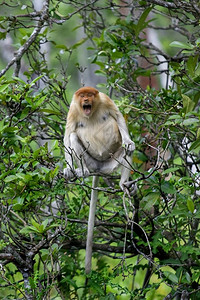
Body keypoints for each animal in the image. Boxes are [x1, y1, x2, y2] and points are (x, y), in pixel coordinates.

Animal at [63, 86, 134, 274]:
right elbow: (68, 135)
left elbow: (117, 116)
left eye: (90, 95)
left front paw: (129, 142)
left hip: (112, 161)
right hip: (91, 160)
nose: (86, 99)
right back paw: (83, 171)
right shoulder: (73, 110)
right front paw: (68, 169)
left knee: (127, 150)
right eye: (82, 95)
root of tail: (99, 167)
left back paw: (123, 184)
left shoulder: (105, 100)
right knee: (73, 136)